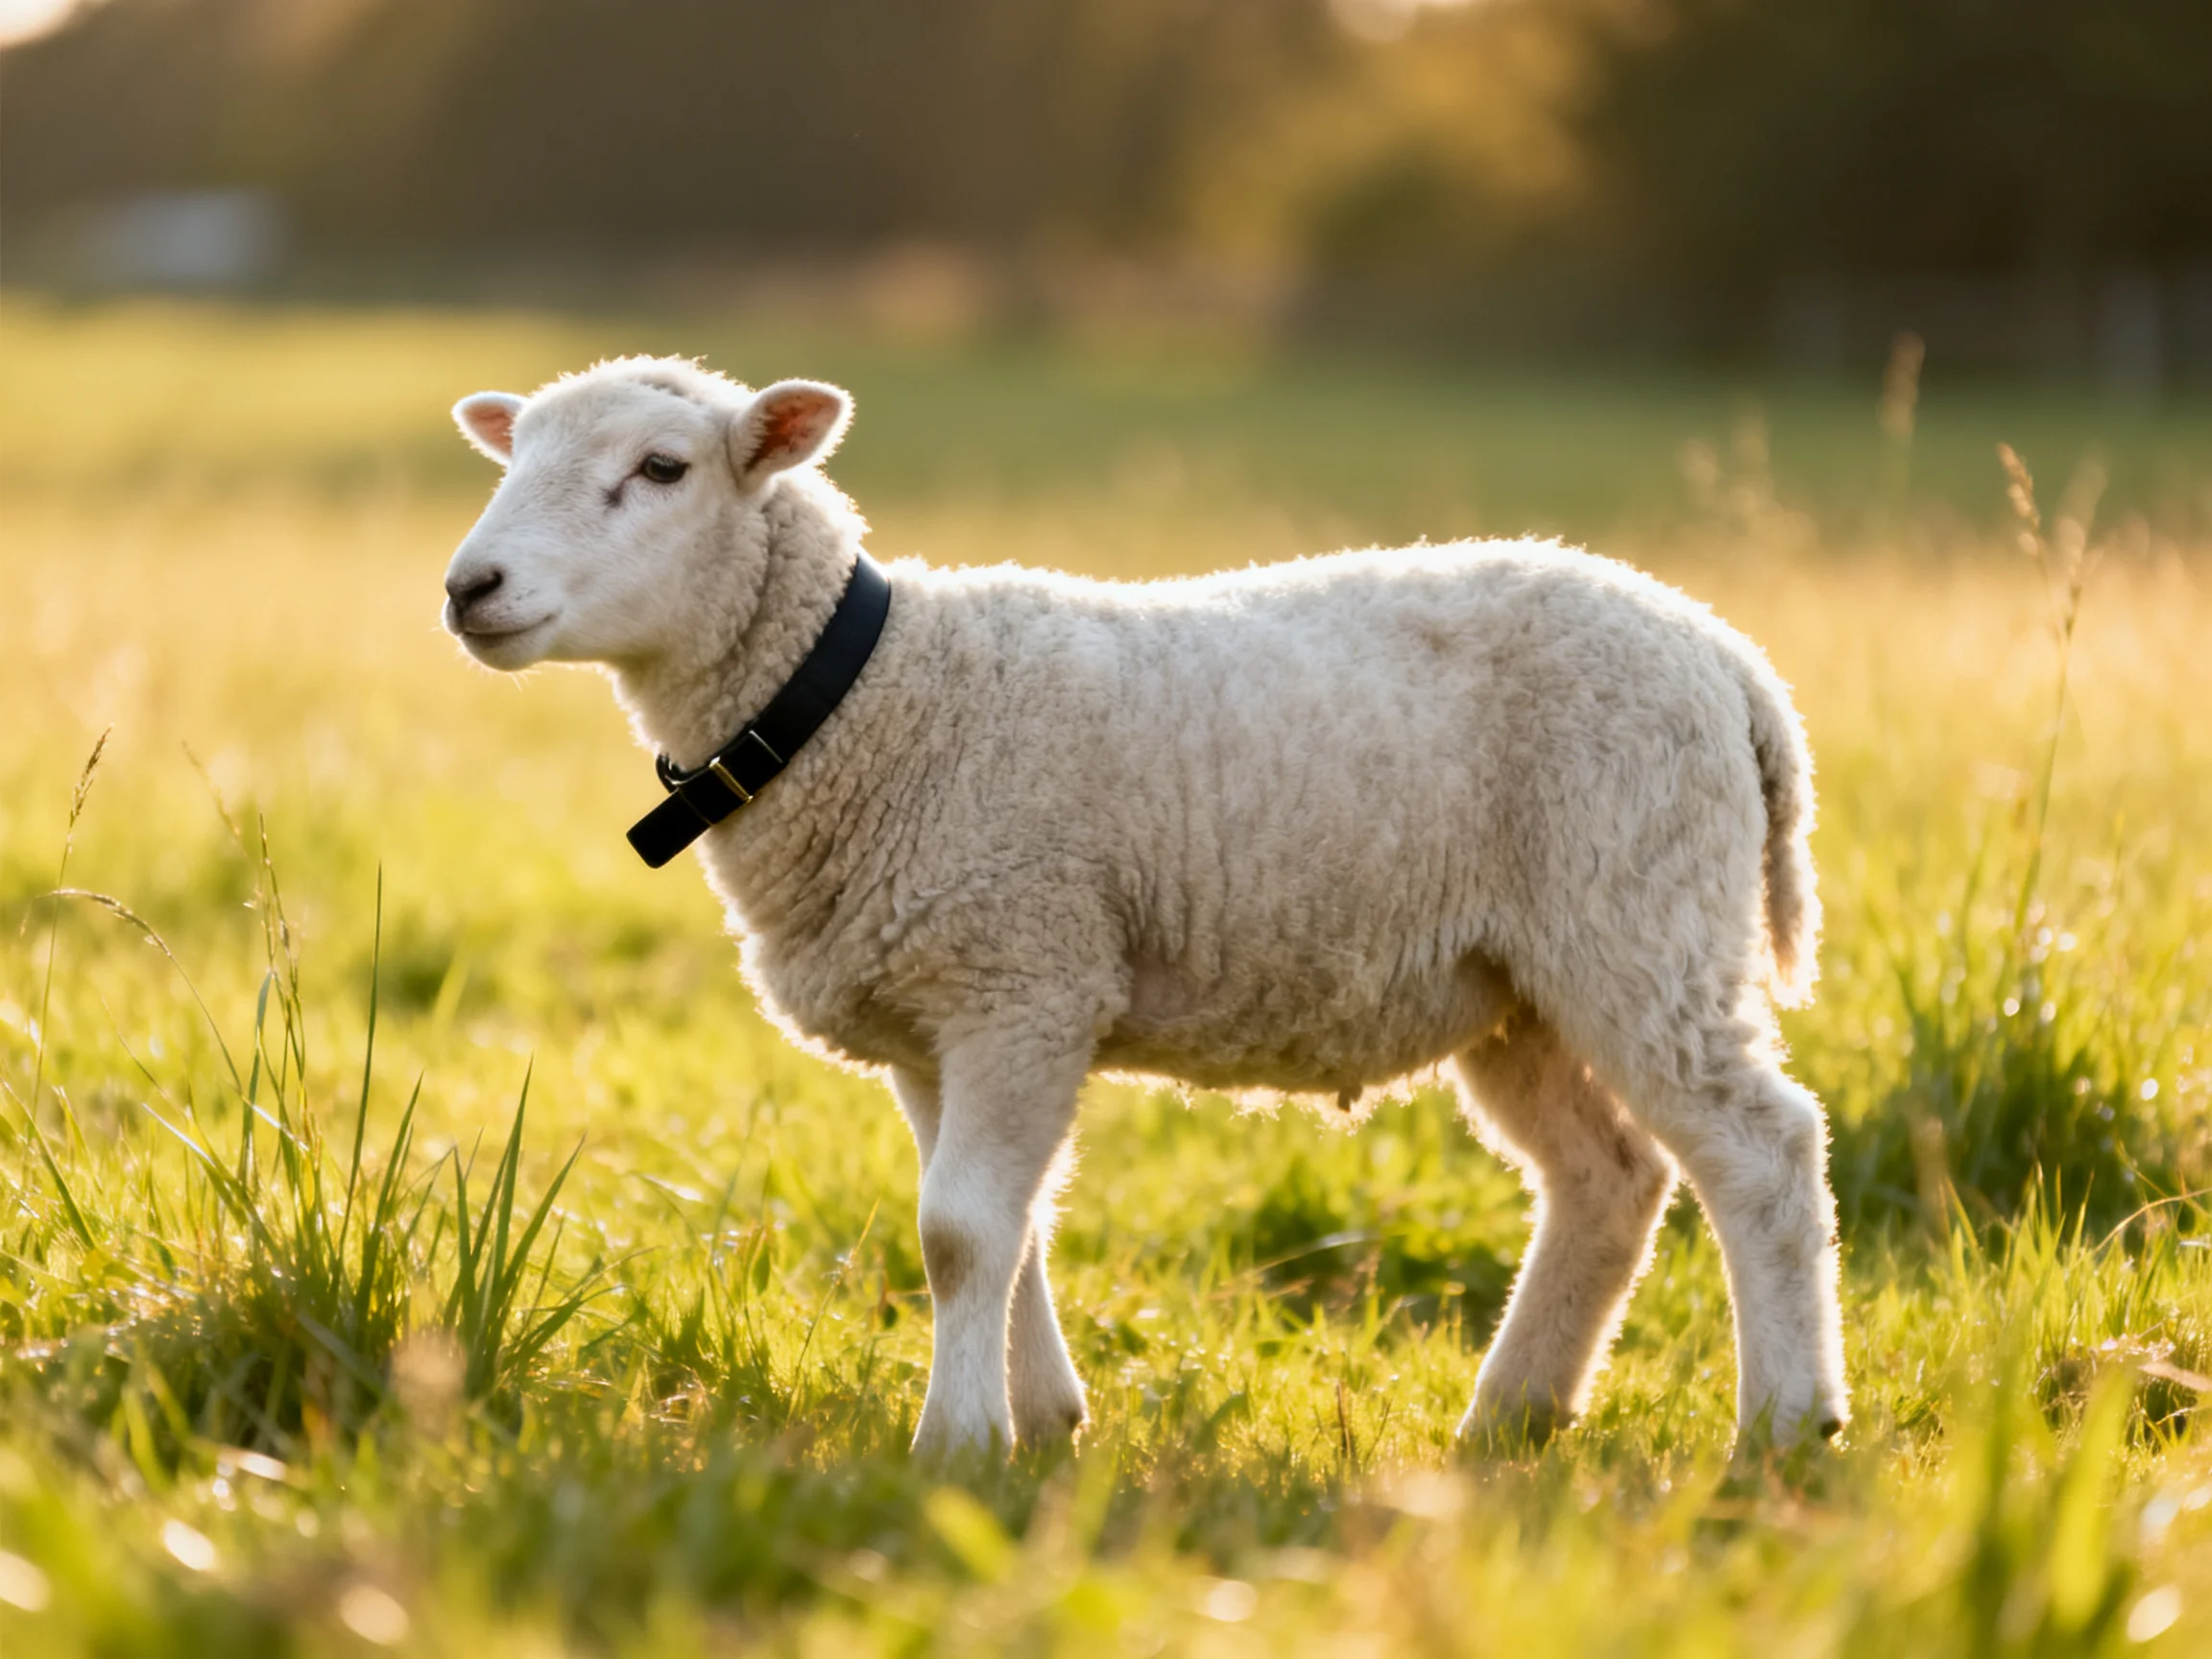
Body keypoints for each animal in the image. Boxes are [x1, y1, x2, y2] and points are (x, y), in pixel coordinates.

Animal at [441, 354, 1848, 1460]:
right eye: (520, 456)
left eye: (662, 469)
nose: (470, 587)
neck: (863, 701)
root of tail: (1729, 660)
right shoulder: (937, 1015)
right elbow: (997, 1230)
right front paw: (1045, 1420)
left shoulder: (1023, 978)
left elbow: (959, 1233)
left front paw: (958, 1444)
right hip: (1520, 987)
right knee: (1608, 1179)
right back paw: (1511, 1417)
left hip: (1640, 915)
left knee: (1762, 1151)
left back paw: (1786, 1427)